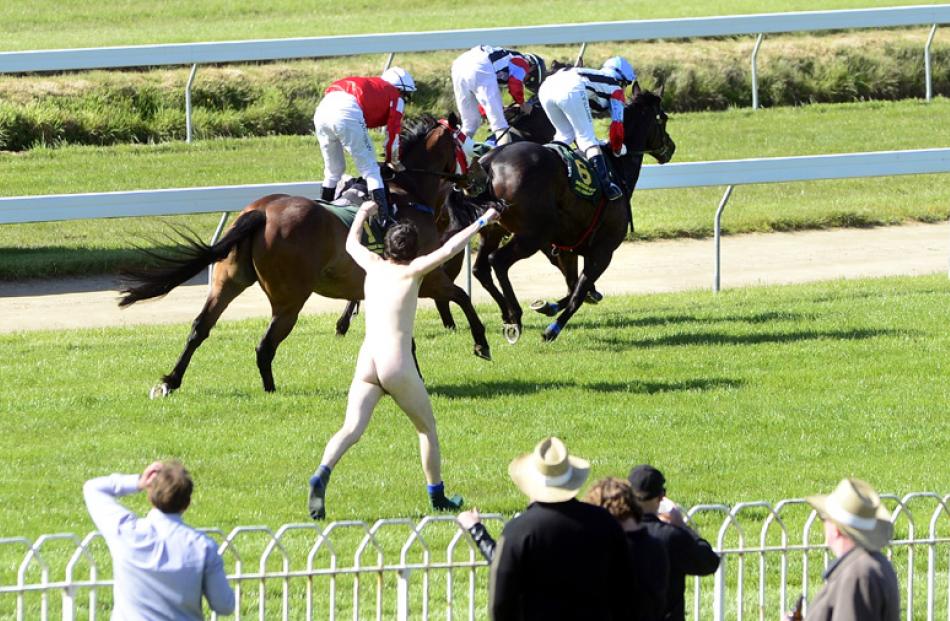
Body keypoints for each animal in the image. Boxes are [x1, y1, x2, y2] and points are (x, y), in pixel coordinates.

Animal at [121, 115, 490, 398]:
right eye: (466, 142)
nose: (481, 177)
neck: (412, 194)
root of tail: (260, 213)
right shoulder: (425, 277)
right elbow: (461, 296)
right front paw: (481, 343)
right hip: (290, 299)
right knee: (265, 345)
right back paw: (271, 391)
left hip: (229, 281)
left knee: (200, 327)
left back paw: (171, 381)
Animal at [470, 83, 676, 342]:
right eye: (663, 118)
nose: (671, 147)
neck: (617, 168)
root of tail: (492, 160)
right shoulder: (603, 251)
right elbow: (578, 293)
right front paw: (553, 328)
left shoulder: (566, 249)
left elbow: (573, 286)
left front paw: (548, 306)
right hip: (532, 235)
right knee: (497, 261)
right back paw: (515, 316)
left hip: (492, 229)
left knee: (480, 268)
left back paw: (507, 314)